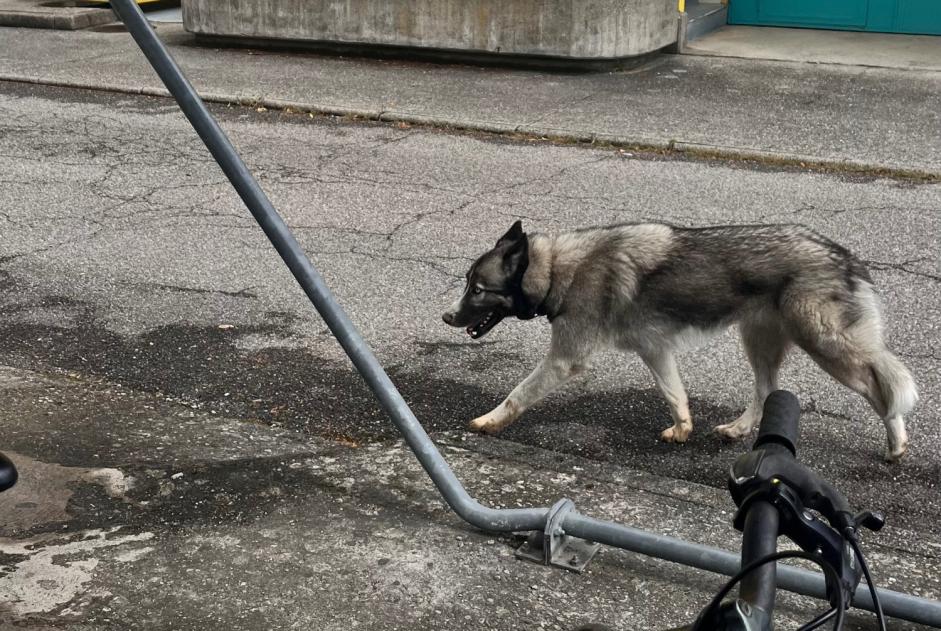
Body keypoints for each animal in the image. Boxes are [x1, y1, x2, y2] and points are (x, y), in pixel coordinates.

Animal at [442, 220, 916, 462]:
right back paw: (738, 428)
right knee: (766, 389)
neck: (561, 268)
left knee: (881, 388)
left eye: (477, 289)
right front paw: (683, 428)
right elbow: (675, 395)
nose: (446, 316)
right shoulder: (656, 351)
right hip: (759, 341)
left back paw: (896, 442)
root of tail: (844, 256)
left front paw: (488, 421)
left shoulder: (564, 360)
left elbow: (517, 395)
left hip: (828, 348)